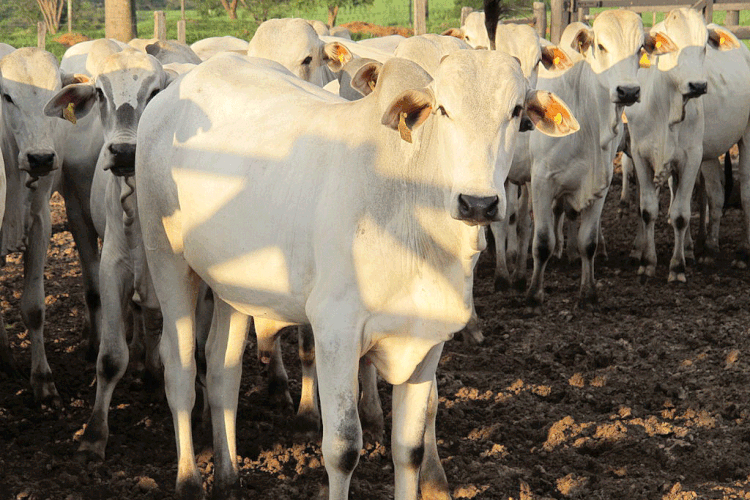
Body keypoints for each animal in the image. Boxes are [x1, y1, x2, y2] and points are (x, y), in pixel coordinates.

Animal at [46, 46, 179, 458]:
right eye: (101, 93)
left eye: (156, 92)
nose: (123, 152)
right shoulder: (113, 268)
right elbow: (110, 358)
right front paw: (93, 435)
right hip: (79, 218)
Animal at [137, 51, 580, 500]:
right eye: (442, 109)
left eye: (516, 111)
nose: (477, 203)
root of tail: (176, 88)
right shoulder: (336, 333)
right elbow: (343, 449)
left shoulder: (427, 341)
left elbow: (410, 449)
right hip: (166, 257)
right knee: (180, 368)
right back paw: (189, 479)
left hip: (233, 285)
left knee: (222, 369)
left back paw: (228, 477)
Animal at [528, 9, 676, 308]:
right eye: (601, 46)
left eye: (640, 48)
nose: (628, 91)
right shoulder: (541, 181)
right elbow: (542, 242)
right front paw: (534, 293)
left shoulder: (600, 182)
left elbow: (588, 241)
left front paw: (588, 291)